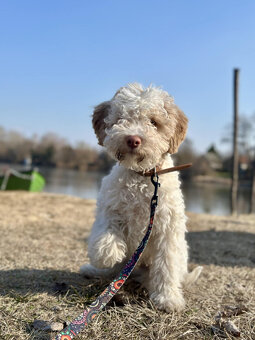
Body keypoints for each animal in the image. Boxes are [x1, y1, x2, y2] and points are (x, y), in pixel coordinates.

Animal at [80, 82, 202, 310]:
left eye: (153, 122)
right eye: (121, 118)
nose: (133, 139)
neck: (142, 177)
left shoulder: (167, 229)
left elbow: (166, 265)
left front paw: (167, 298)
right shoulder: (110, 205)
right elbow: (106, 230)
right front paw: (106, 253)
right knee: (113, 271)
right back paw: (93, 270)